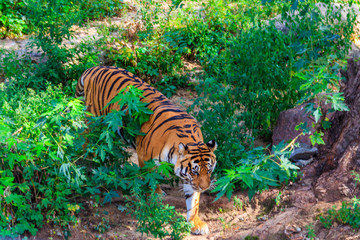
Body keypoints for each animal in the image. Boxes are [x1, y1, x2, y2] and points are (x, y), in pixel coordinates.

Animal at [75, 65, 217, 234]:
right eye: (195, 171)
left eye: (209, 170)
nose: (205, 187)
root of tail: (94, 67)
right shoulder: (145, 158)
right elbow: (152, 180)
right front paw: (157, 197)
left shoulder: (188, 178)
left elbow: (193, 200)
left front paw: (195, 223)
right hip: (94, 121)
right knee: (86, 140)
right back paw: (88, 162)